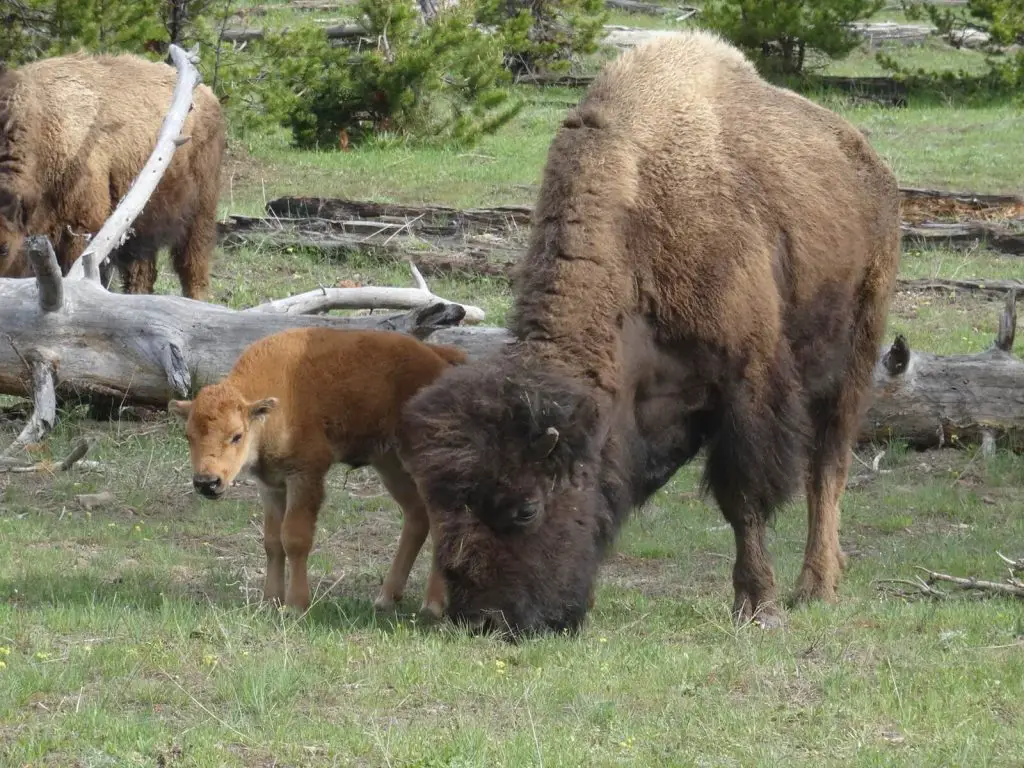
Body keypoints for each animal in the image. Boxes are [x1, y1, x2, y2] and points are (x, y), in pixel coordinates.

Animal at [0, 51, 224, 301]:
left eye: (5, 249)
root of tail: (209, 95)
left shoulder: (83, 227)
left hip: (200, 210)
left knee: (193, 265)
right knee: (143, 273)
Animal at [169, 327, 466, 618]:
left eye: (236, 435)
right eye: (188, 436)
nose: (207, 482)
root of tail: (439, 362)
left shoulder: (305, 476)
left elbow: (295, 537)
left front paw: (296, 605)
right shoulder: (271, 486)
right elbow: (272, 541)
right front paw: (269, 601)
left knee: (440, 520)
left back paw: (432, 605)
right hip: (389, 463)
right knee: (417, 515)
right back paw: (386, 599)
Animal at [395, 30, 901, 638]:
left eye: (525, 507)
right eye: (441, 507)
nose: (486, 618)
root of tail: (869, 165)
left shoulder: (748, 384)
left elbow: (744, 499)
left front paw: (759, 607)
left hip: (856, 350)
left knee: (828, 465)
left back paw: (816, 585)